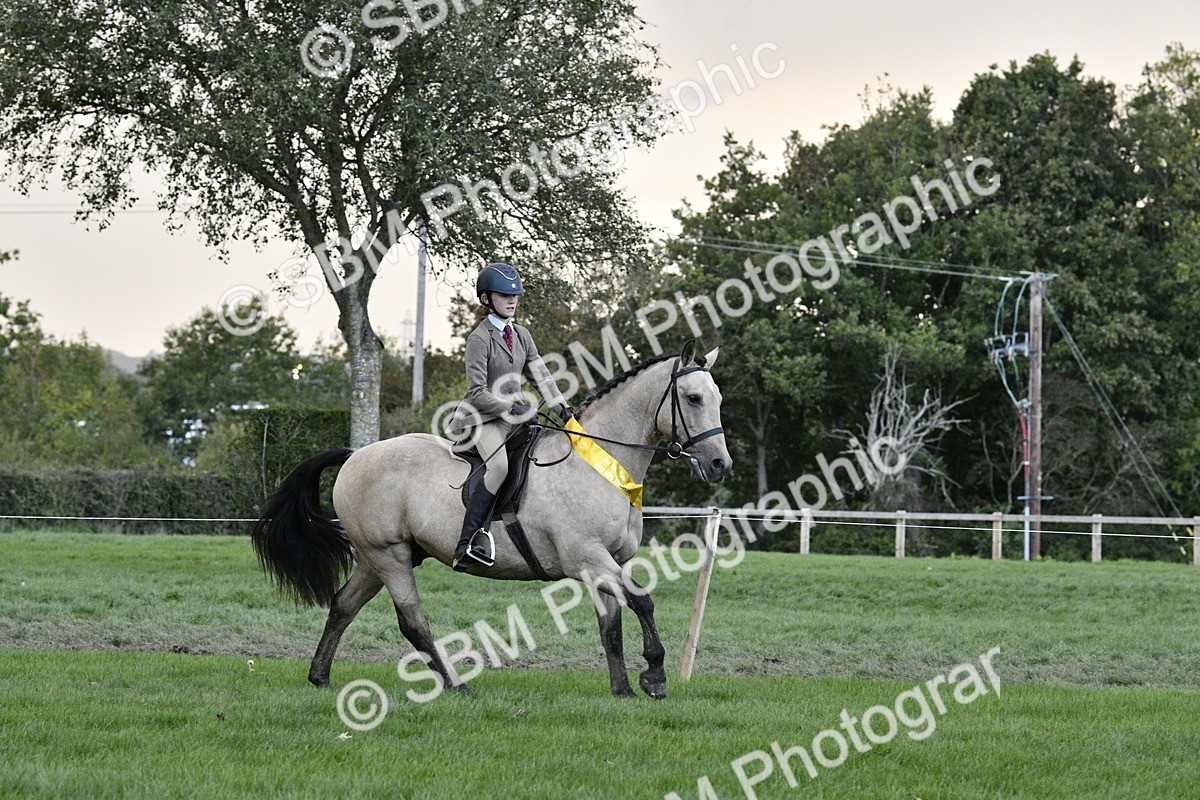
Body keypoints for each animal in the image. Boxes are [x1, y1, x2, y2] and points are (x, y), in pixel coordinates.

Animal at [250, 341, 732, 699]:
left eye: (718, 399)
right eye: (693, 399)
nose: (719, 465)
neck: (603, 464)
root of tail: (356, 455)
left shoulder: (610, 563)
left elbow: (611, 625)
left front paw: (623, 689)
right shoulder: (588, 559)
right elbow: (643, 601)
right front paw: (655, 676)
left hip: (377, 559)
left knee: (343, 606)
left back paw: (320, 676)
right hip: (389, 557)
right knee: (412, 622)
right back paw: (454, 685)